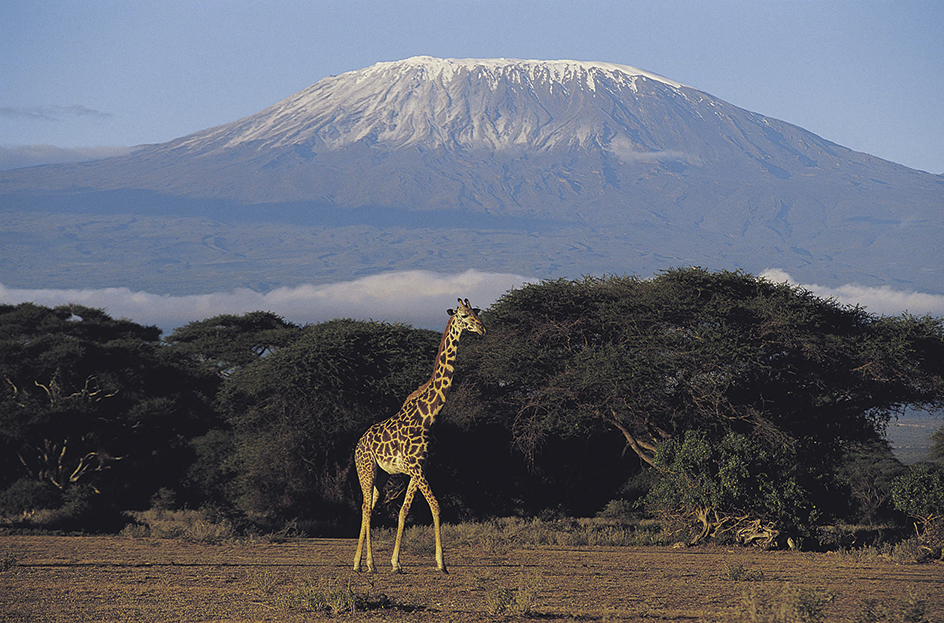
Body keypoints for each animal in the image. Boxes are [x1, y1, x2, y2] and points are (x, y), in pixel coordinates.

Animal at [354, 300, 486, 572]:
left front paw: (396, 563)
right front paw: (441, 563)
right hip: (366, 468)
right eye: (464, 315)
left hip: (381, 475)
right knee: (366, 507)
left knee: (368, 506)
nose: (482, 329)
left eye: (477, 313)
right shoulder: (415, 468)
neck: (429, 415)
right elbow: (436, 505)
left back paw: (358, 563)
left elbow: (404, 510)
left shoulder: (420, 468)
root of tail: (357, 445)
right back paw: (369, 564)